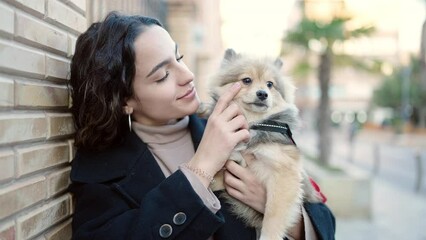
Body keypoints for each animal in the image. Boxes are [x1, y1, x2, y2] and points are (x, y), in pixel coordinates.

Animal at [198, 48, 322, 240]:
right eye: (246, 80)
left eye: (270, 84)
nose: (263, 93)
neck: (251, 124)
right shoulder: (230, 164)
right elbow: (217, 177)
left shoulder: (283, 173)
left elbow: (273, 214)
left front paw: (269, 235)